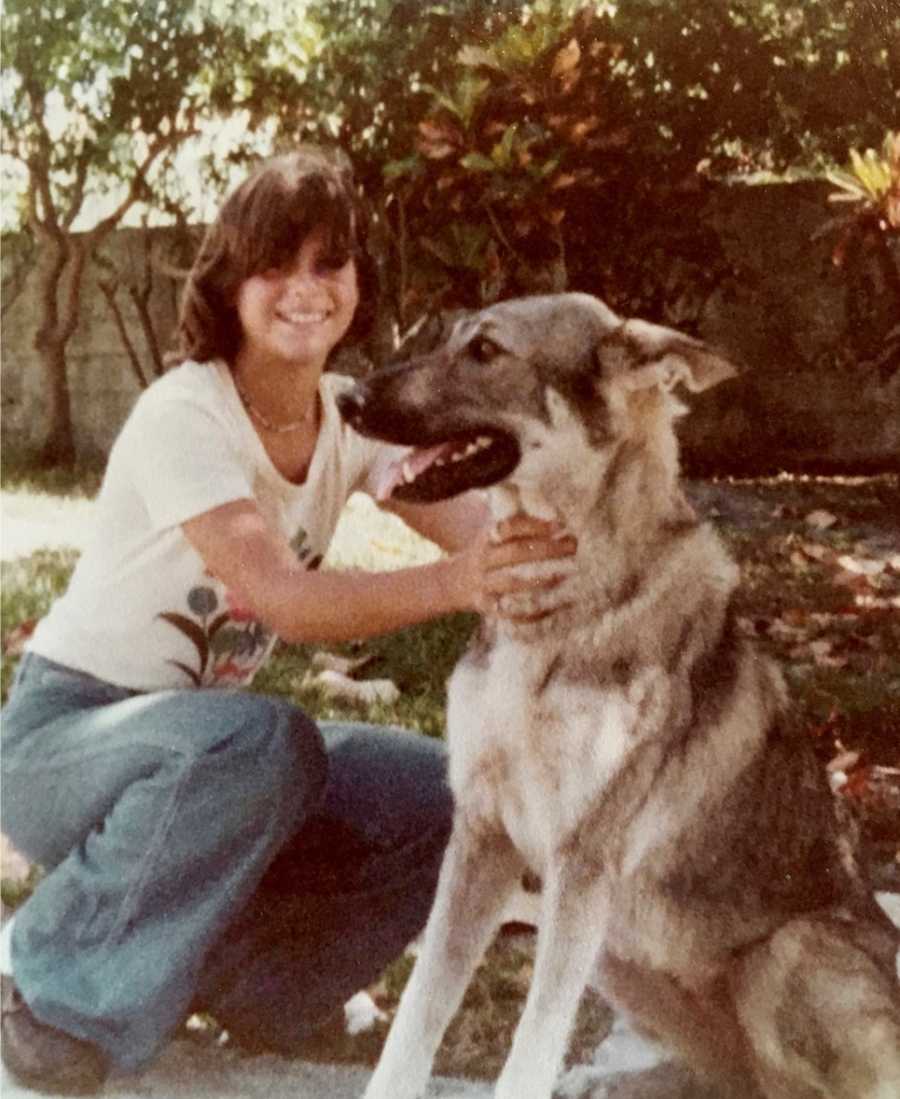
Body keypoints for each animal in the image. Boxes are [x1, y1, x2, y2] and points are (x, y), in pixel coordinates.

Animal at [338, 292, 900, 1099]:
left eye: (486, 351)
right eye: (449, 337)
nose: (346, 399)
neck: (562, 613)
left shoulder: (581, 861)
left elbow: (531, 1044)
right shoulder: (482, 835)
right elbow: (417, 1016)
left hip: (778, 956)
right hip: (610, 949)